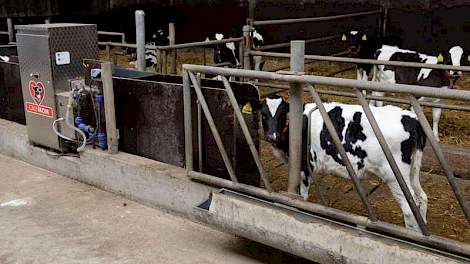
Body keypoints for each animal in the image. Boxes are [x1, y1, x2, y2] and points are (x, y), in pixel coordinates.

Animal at [262, 95, 428, 231]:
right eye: (263, 115)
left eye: (282, 114)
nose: (271, 136)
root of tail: (413, 120)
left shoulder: (304, 166)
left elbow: (302, 196)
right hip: (413, 169)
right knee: (422, 198)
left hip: (394, 175)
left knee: (409, 208)